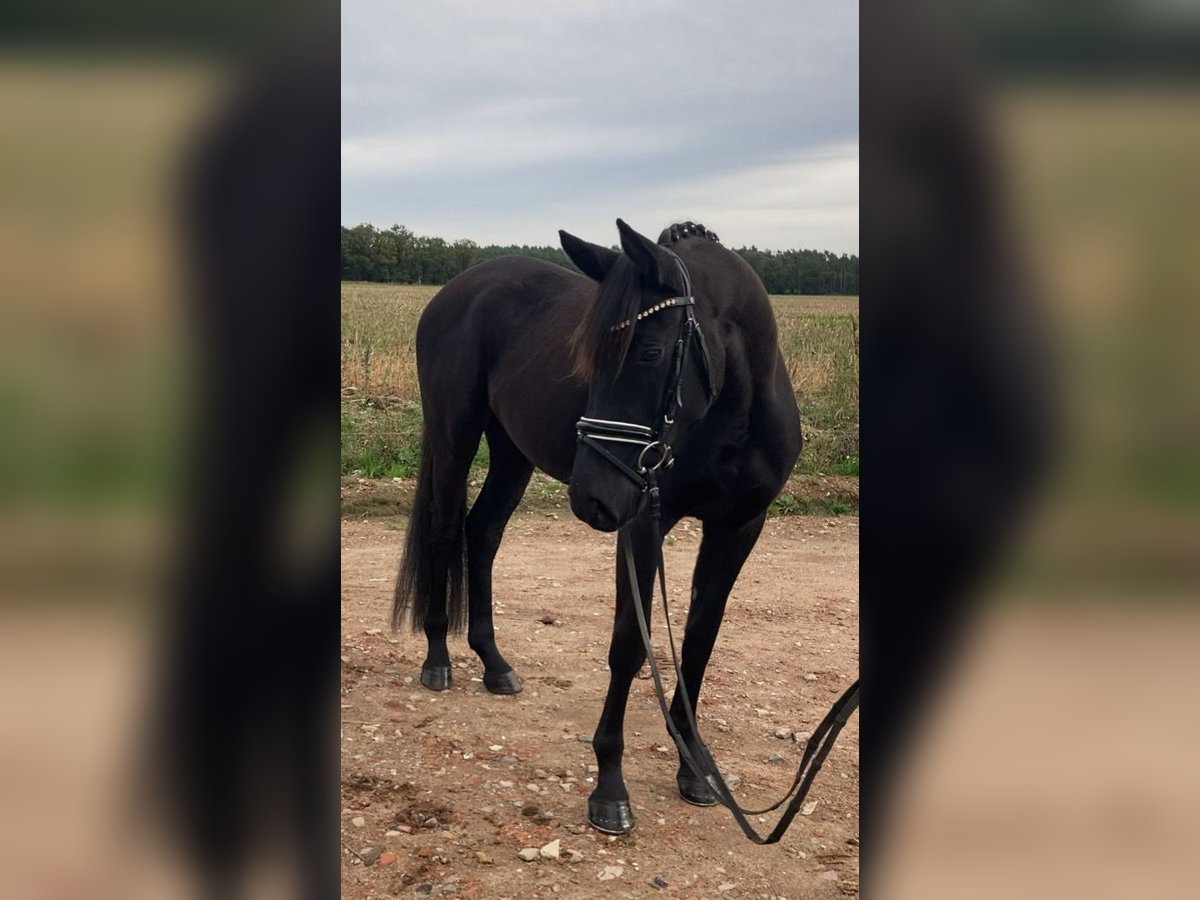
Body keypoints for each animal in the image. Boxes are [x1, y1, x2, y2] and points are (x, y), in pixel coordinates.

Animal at [393, 220, 801, 840]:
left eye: (651, 352)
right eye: (587, 358)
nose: (592, 497)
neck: (735, 415)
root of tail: (455, 291)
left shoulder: (737, 528)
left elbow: (699, 642)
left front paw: (694, 769)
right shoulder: (641, 527)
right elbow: (630, 646)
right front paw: (610, 787)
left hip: (512, 452)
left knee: (482, 533)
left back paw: (494, 664)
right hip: (454, 436)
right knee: (444, 532)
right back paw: (437, 659)